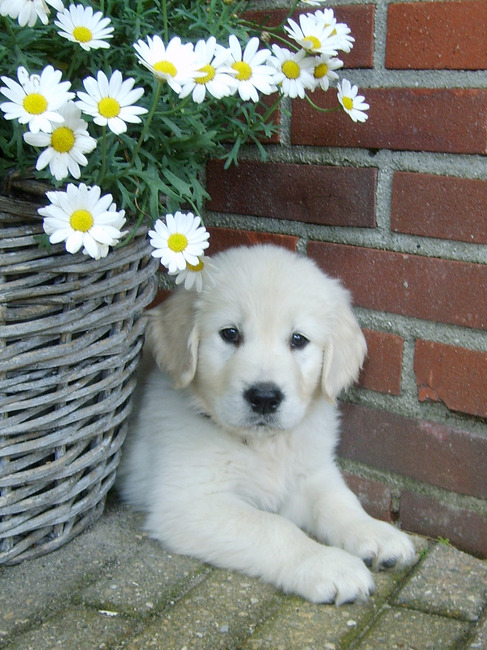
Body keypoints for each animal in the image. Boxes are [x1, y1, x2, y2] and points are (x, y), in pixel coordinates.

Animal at [117, 244, 415, 604]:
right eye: (230, 334)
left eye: (298, 339)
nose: (264, 398)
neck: (263, 444)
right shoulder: (189, 502)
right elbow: (276, 529)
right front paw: (328, 565)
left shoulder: (311, 471)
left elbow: (339, 501)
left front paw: (374, 532)